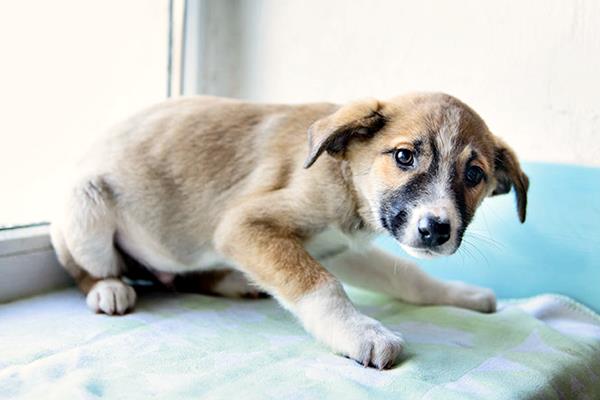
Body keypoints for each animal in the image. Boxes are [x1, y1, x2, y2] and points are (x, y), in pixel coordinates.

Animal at [52, 93, 528, 368]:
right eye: (404, 156)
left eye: (474, 175)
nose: (436, 230)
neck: (344, 172)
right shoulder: (242, 225)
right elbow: (321, 285)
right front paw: (361, 332)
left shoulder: (341, 246)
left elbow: (409, 276)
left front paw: (460, 294)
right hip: (85, 203)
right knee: (86, 269)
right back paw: (108, 289)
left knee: (188, 276)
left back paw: (236, 282)